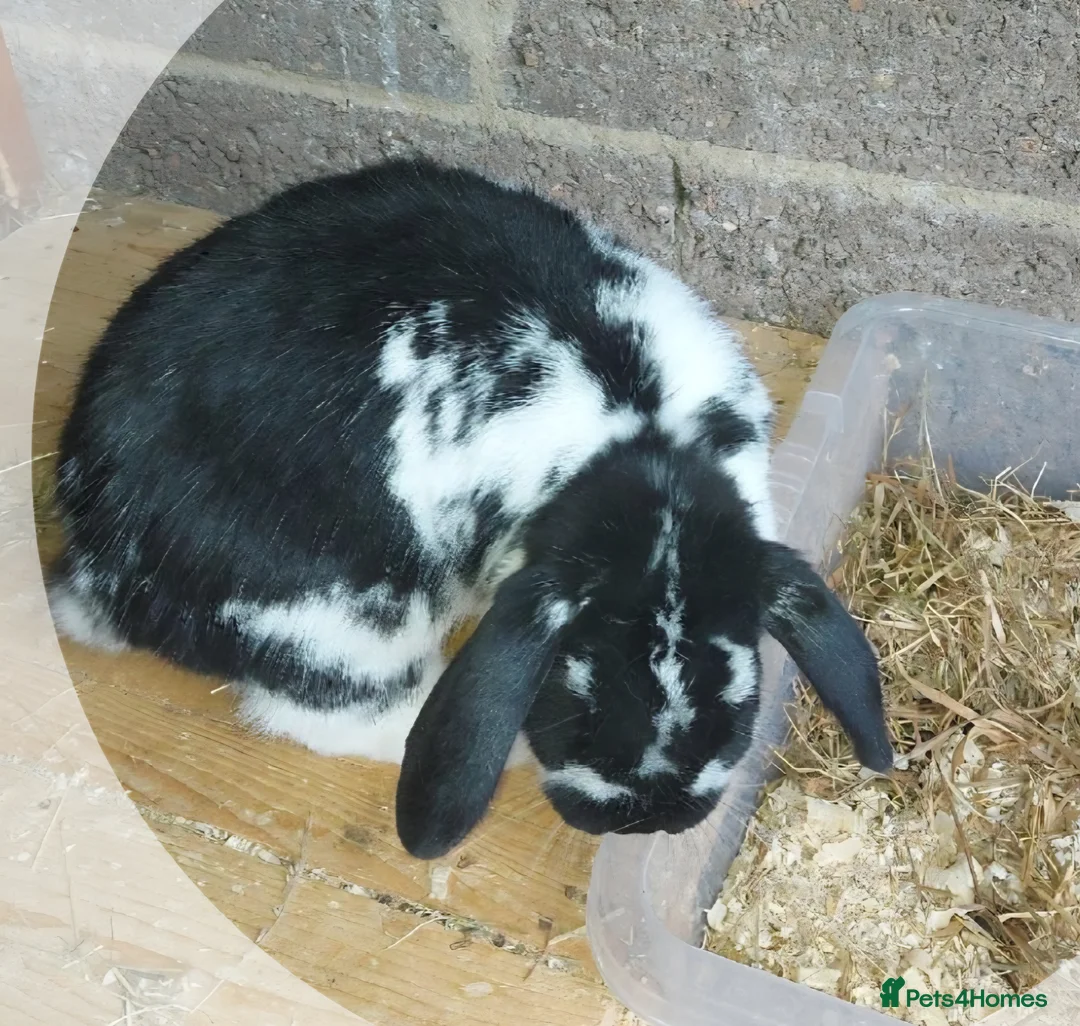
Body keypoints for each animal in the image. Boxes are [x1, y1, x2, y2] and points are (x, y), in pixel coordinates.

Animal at [47, 157, 894, 860]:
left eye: (739, 702)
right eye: (576, 700)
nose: (646, 819)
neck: (640, 445)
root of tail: (95, 567)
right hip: (351, 622)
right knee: (326, 716)